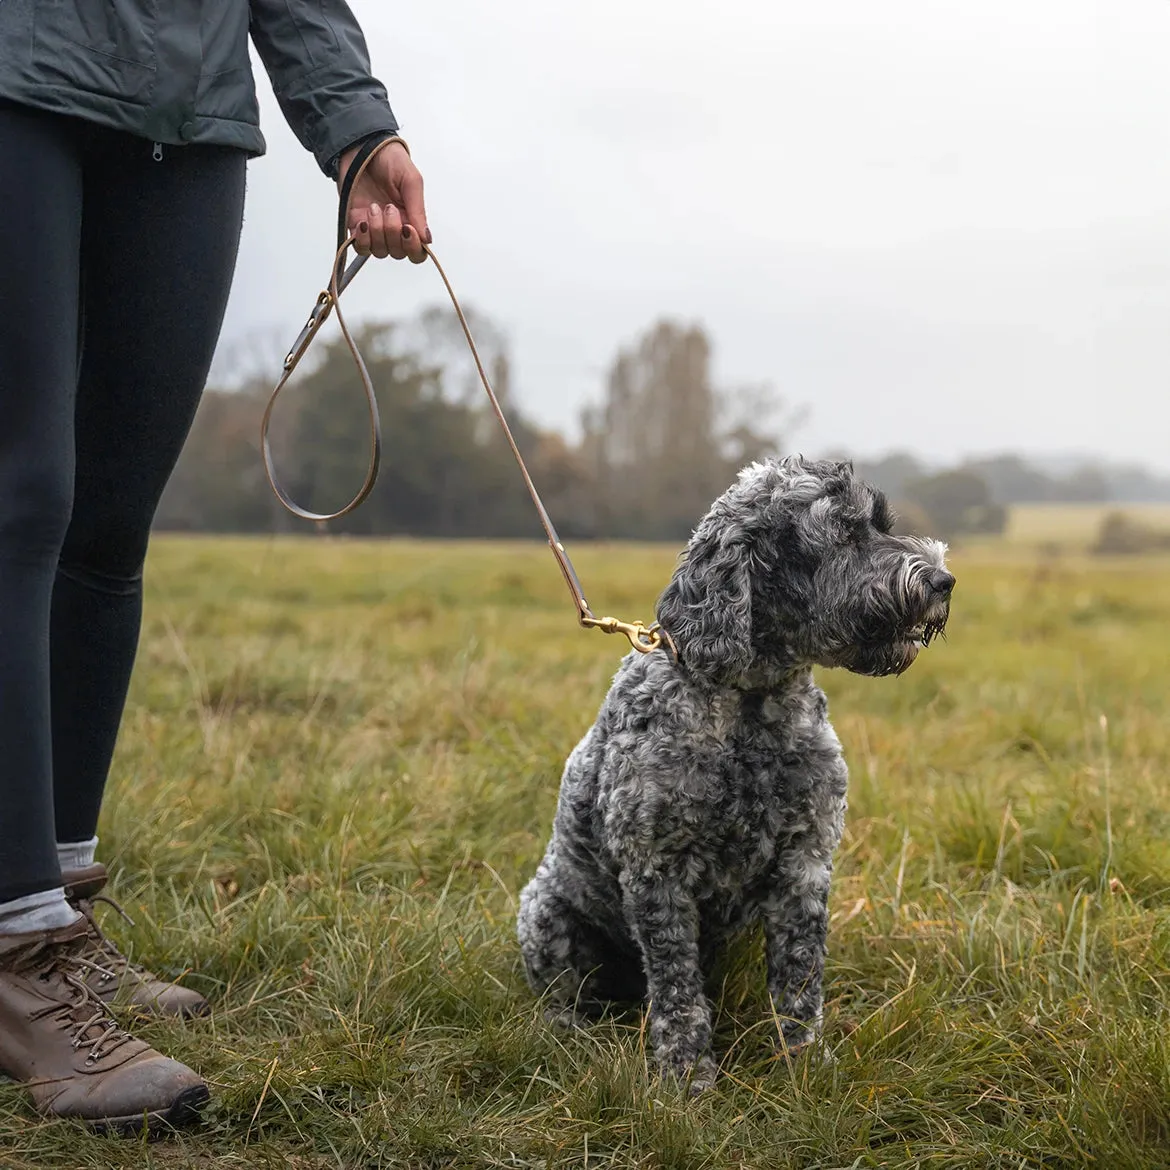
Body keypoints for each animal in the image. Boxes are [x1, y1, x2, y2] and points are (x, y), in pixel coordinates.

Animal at [517, 453, 954, 1085]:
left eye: (880, 523)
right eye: (845, 533)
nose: (943, 580)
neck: (751, 709)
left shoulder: (805, 865)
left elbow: (799, 978)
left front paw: (801, 1061)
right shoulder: (658, 875)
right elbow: (678, 992)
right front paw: (687, 1075)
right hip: (546, 917)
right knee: (564, 993)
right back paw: (568, 1031)